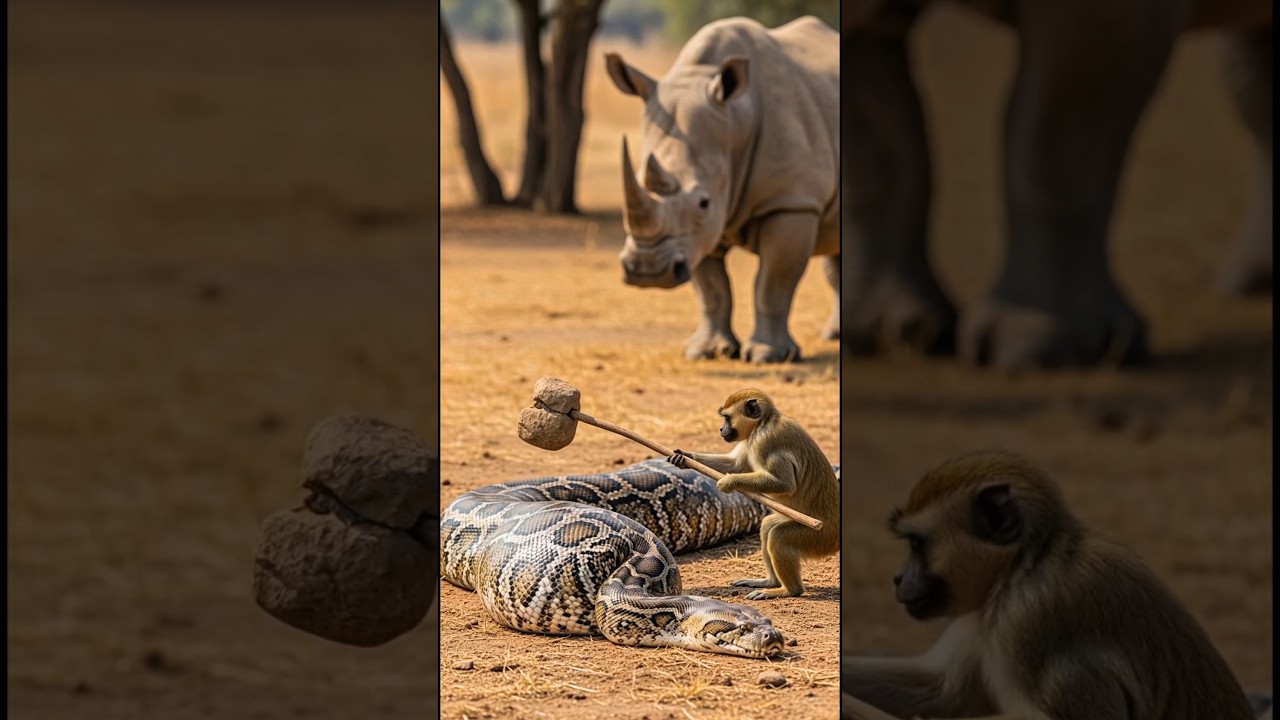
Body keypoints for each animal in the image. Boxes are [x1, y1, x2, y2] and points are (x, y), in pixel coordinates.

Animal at [605, 16, 839, 363]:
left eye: (703, 203)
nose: (649, 271)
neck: (736, 121)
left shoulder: (791, 202)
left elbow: (773, 282)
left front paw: (768, 356)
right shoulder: (697, 233)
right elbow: (711, 288)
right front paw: (708, 352)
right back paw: (835, 335)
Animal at [667, 389, 839, 600]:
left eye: (727, 418)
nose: (721, 429)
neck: (763, 422)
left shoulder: (764, 441)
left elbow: (785, 484)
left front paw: (729, 482)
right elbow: (736, 465)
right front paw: (684, 457)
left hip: (819, 538)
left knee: (778, 536)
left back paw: (788, 590)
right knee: (767, 527)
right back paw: (771, 582)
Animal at [840, 450, 1257, 720]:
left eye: (916, 544)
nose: (897, 577)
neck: (1026, 564)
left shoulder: (1027, 618)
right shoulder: (985, 618)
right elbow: (941, 692)